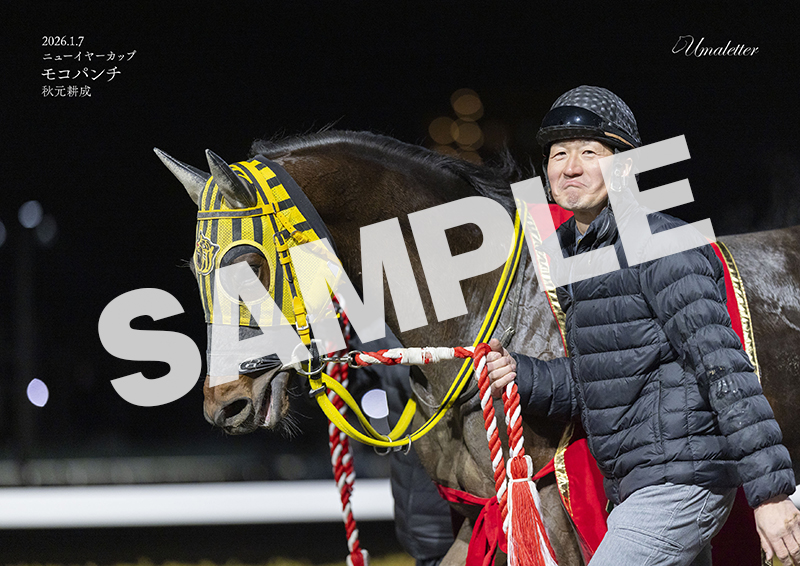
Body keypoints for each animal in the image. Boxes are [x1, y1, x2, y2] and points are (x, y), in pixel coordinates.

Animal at [157, 130, 800, 566]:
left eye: (248, 261)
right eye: (196, 267)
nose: (226, 403)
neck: (493, 302)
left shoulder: (552, 512)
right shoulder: (479, 513)